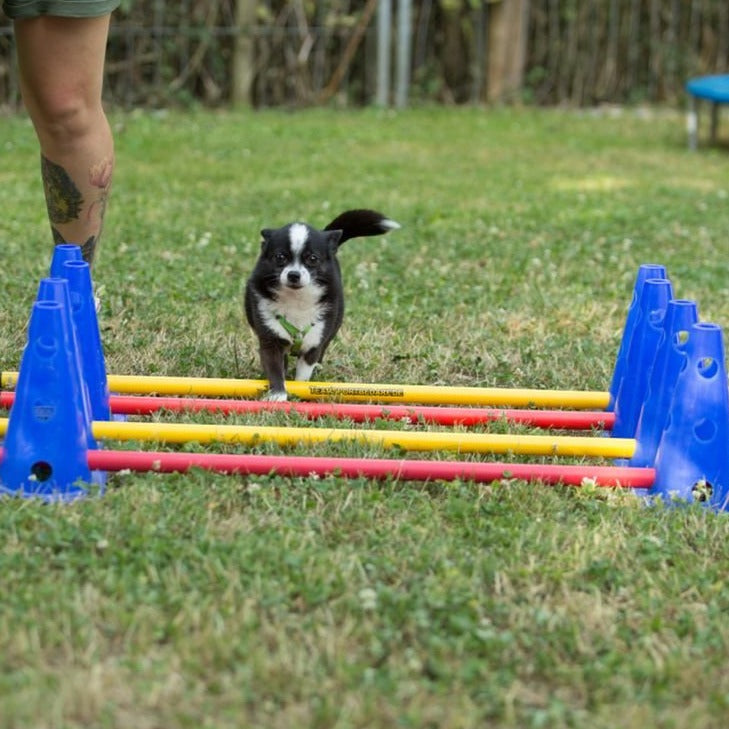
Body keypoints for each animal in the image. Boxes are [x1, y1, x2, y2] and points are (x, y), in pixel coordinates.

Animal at [246, 208, 400, 400]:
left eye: (313, 258)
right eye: (280, 257)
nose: (294, 274)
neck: (296, 299)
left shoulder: (314, 341)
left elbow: (305, 370)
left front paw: (300, 389)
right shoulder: (270, 340)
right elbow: (274, 368)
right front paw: (278, 395)